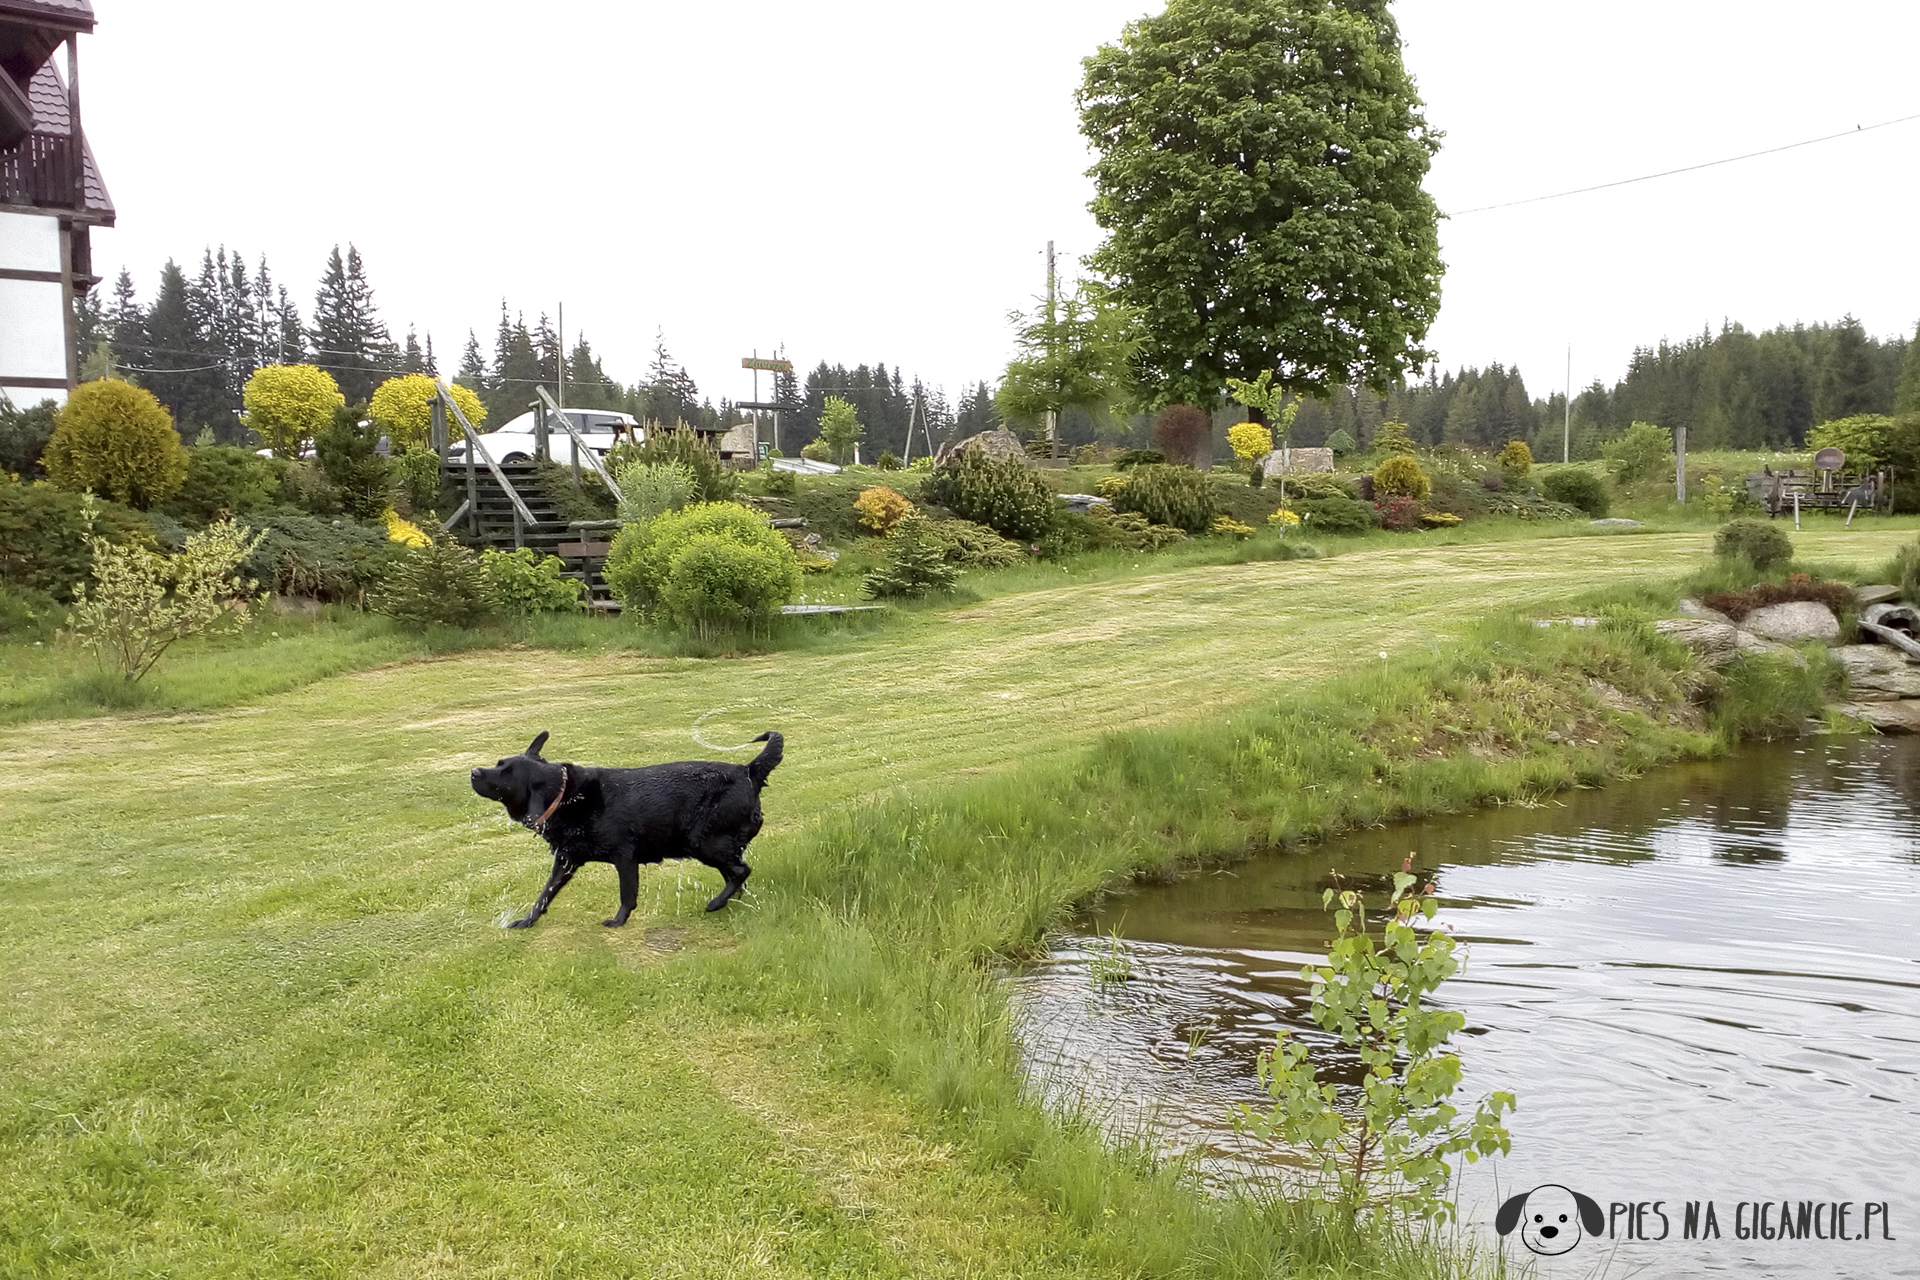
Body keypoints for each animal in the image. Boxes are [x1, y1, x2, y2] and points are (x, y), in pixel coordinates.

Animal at [472, 729, 779, 932]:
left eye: (506, 772)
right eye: (498, 763)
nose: (474, 771)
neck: (567, 797)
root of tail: (748, 770)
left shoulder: (625, 857)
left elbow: (627, 895)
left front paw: (618, 921)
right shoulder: (565, 860)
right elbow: (545, 893)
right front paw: (527, 920)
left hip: (704, 842)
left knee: (741, 871)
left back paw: (715, 903)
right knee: (736, 874)